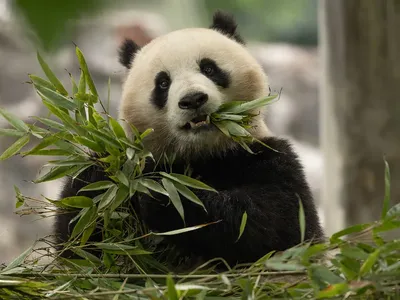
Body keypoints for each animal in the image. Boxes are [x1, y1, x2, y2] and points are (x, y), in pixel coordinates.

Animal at [53, 11, 324, 270]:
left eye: (209, 69)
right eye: (163, 83)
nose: (193, 99)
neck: (203, 153)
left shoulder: (266, 156)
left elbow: (279, 222)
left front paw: (163, 196)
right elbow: (78, 240)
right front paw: (105, 177)